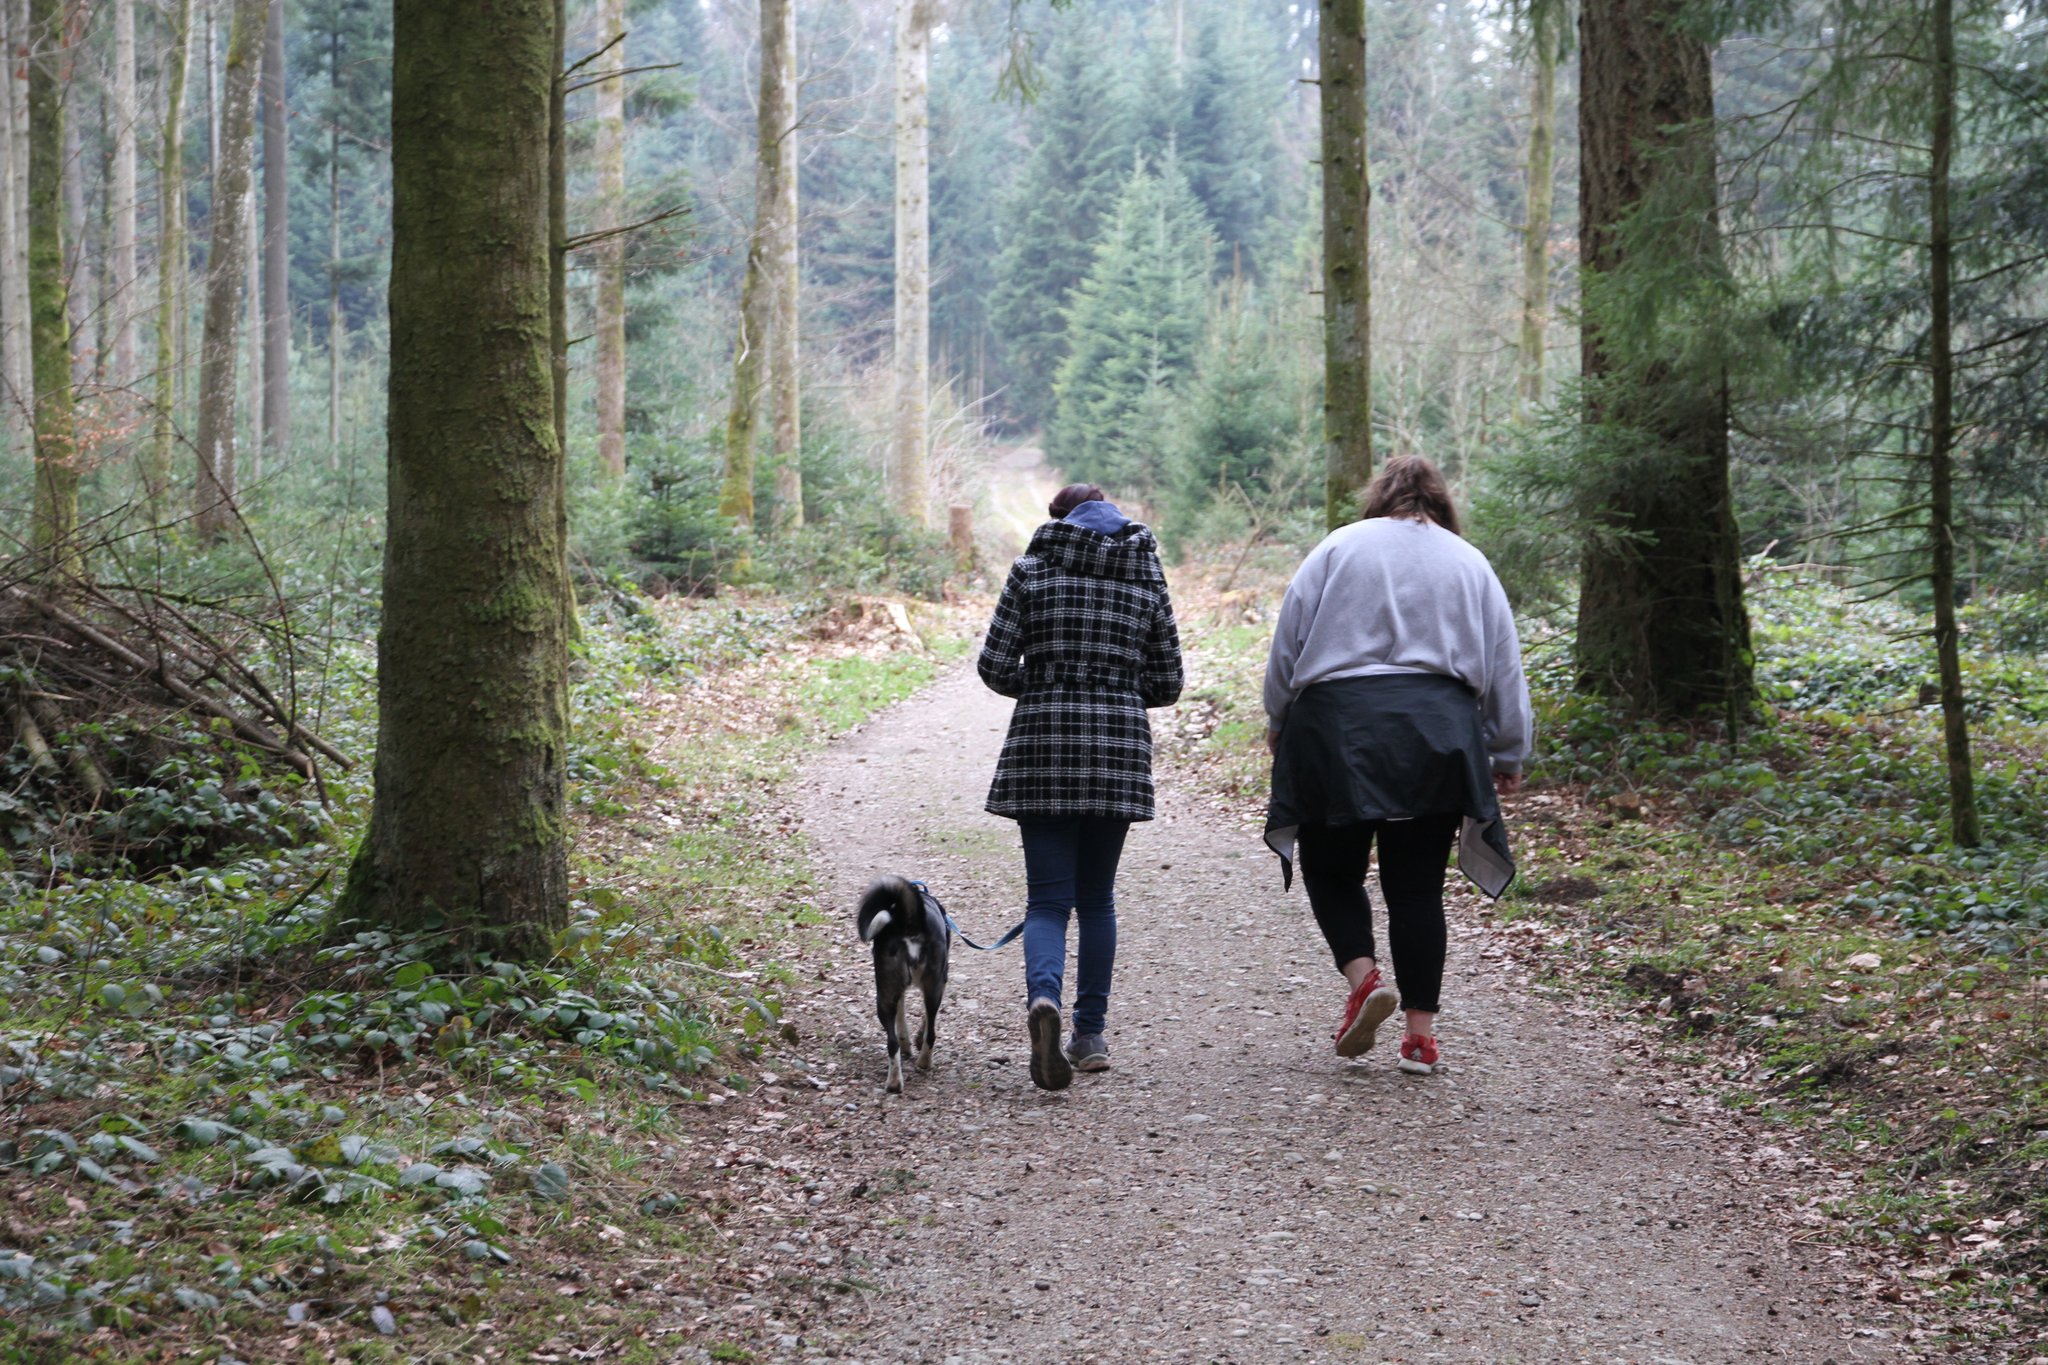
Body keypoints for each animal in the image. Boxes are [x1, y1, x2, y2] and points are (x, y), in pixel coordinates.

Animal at [856, 879, 950, 1096]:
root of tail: (910, 921)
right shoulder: (941, 981)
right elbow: (922, 1019)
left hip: (886, 992)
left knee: (893, 1043)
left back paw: (894, 1082)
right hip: (929, 988)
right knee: (929, 1033)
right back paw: (923, 1063)